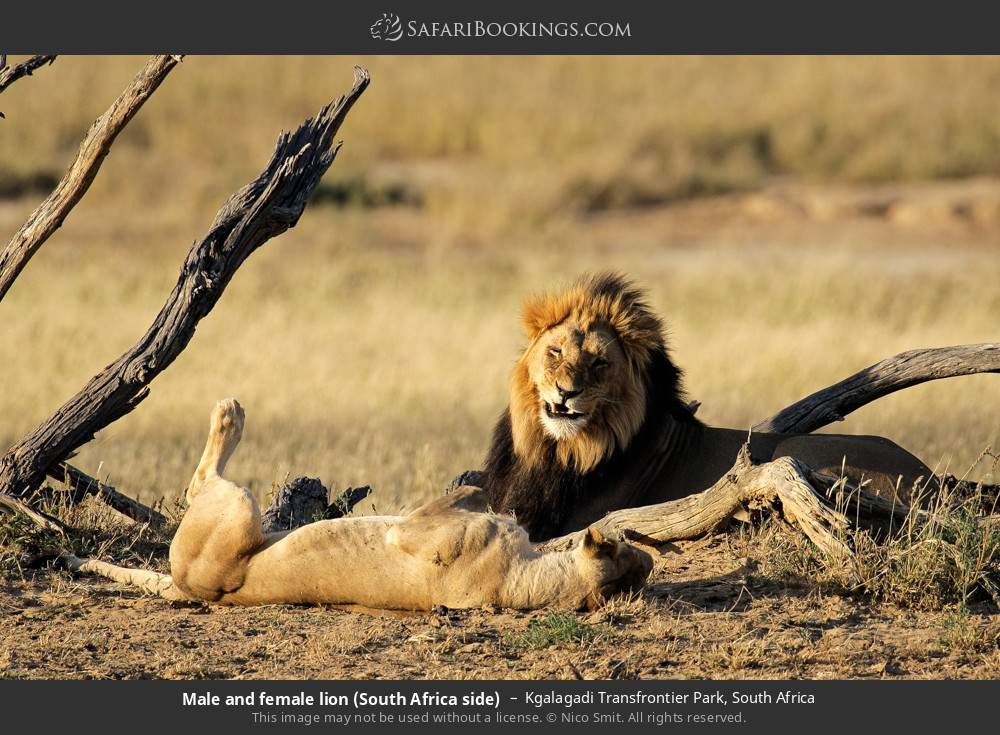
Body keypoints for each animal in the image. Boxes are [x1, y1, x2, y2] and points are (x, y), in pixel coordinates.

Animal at [64, 399, 652, 610]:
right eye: (631, 546)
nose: (643, 552)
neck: (524, 580)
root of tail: (187, 589)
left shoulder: (410, 530)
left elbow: (463, 500)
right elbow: (487, 496)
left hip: (239, 510)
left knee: (200, 483)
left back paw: (230, 413)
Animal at [482, 271, 935, 540]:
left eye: (599, 363)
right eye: (555, 352)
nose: (566, 393)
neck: (558, 451)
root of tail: (930, 478)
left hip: (795, 452)